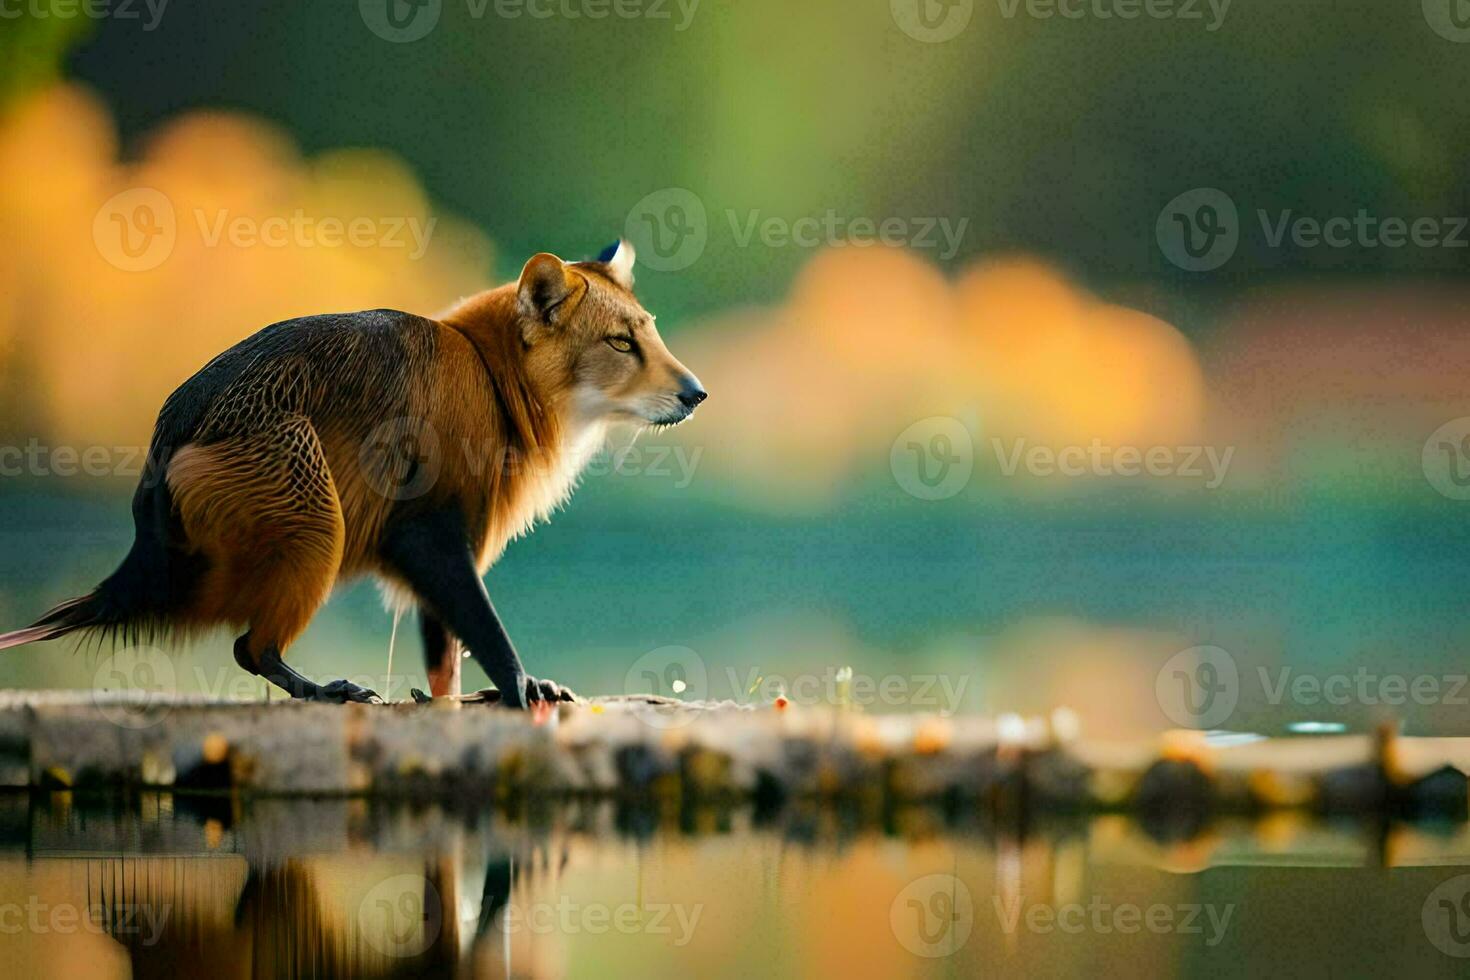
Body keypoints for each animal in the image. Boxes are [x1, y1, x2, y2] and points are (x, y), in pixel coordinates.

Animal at [0, 240, 705, 708]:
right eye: (621, 342)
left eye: (648, 332)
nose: (697, 394)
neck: (490, 375)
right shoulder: (430, 532)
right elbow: (483, 630)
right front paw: (520, 687)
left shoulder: (438, 552)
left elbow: (444, 661)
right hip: (316, 514)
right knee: (250, 648)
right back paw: (323, 690)